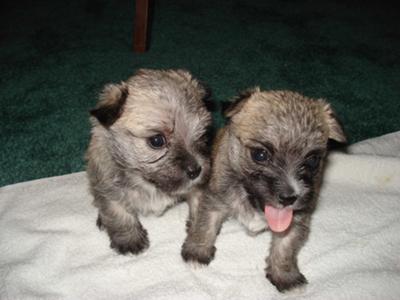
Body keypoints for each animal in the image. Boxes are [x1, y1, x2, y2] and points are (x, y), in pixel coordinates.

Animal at [86, 69, 214, 254]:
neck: (146, 181)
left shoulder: (199, 187)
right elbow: (118, 212)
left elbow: (200, 205)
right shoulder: (108, 188)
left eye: (202, 134)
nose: (196, 170)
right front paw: (129, 239)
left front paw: (197, 236)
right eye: (157, 140)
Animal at [180, 88, 346, 292]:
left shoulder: (296, 220)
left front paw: (285, 276)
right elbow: (205, 226)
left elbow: (285, 248)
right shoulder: (214, 202)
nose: (289, 197)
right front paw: (197, 252)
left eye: (313, 160)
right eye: (260, 155)